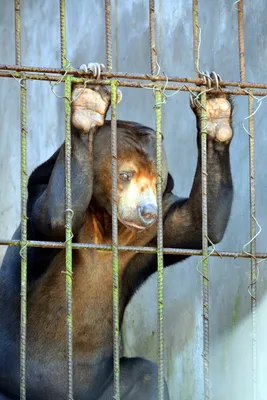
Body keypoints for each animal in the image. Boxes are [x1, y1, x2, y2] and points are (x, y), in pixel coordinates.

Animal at [0, 63, 234, 400]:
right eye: (125, 175)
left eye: (157, 181)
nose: (147, 211)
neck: (105, 221)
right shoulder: (39, 193)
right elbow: (56, 218)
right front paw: (89, 102)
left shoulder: (152, 234)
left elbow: (199, 224)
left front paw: (214, 110)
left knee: (146, 374)